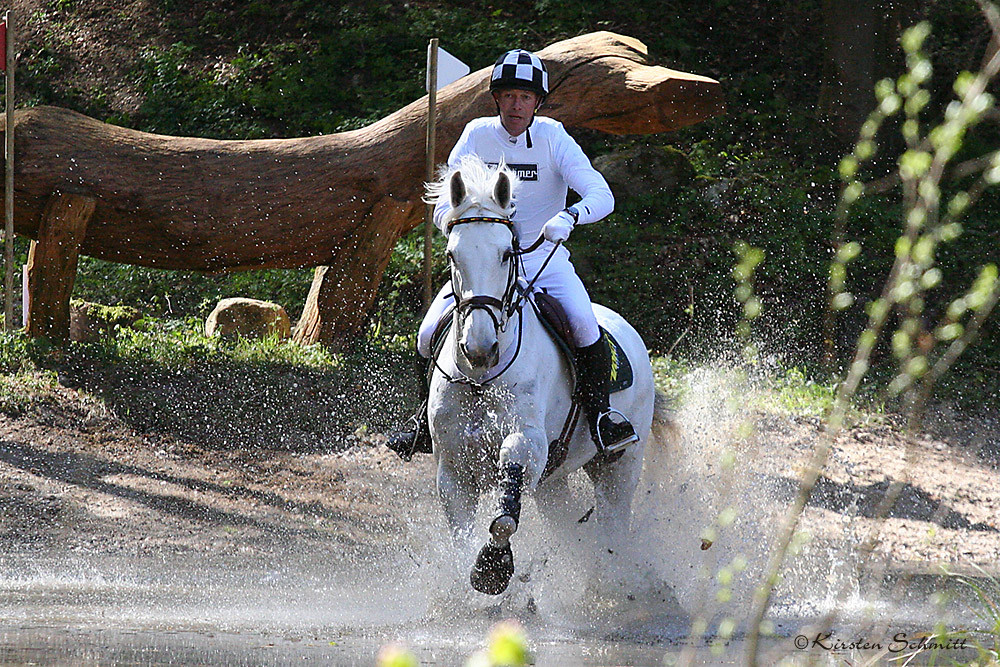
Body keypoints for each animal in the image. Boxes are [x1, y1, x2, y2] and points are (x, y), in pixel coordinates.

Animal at [424, 155, 672, 596]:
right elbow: (461, 536)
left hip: (620, 465)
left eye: (507, 254)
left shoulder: (529, 444)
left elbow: (504, 517)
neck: (480, 381)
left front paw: (492, 569)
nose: (480, 349)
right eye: (453, 255)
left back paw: (610, 586)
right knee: (568, 523)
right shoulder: (453, 472)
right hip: (554, 482)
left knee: (613, 526)